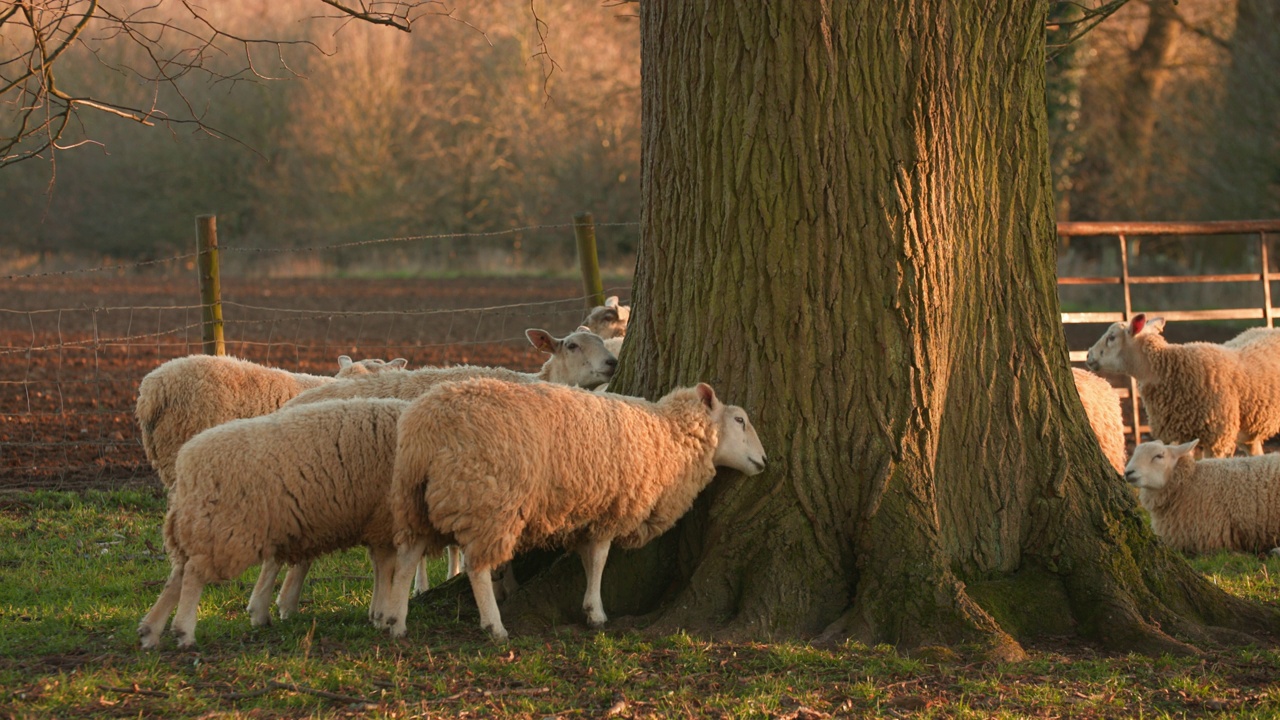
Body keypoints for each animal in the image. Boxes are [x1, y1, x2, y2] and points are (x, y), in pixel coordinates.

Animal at [135, 394, 407, 648]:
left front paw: (378, 612)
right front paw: (383, 614)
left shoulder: (377, 523)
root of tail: (186, 467)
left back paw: (151, 630)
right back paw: (184, 631)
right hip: (225, 531)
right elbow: (386, 567)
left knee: (177, 575)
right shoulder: (384, 520)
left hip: (201, 527)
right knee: (192, 573)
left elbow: (381, 567)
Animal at [373, 379, 762, 635]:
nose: (765, 460)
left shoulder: (590, 511)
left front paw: (591, 607)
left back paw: (396, 622)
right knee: (476, 567)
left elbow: (588, 558)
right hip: (485, 500)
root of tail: (426, 429)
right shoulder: (612, 508)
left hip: (412, 500)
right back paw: (494, 626)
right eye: (740, 420)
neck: (666, 435)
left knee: (406, 560)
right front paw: (596, 612)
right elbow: (600, 559)